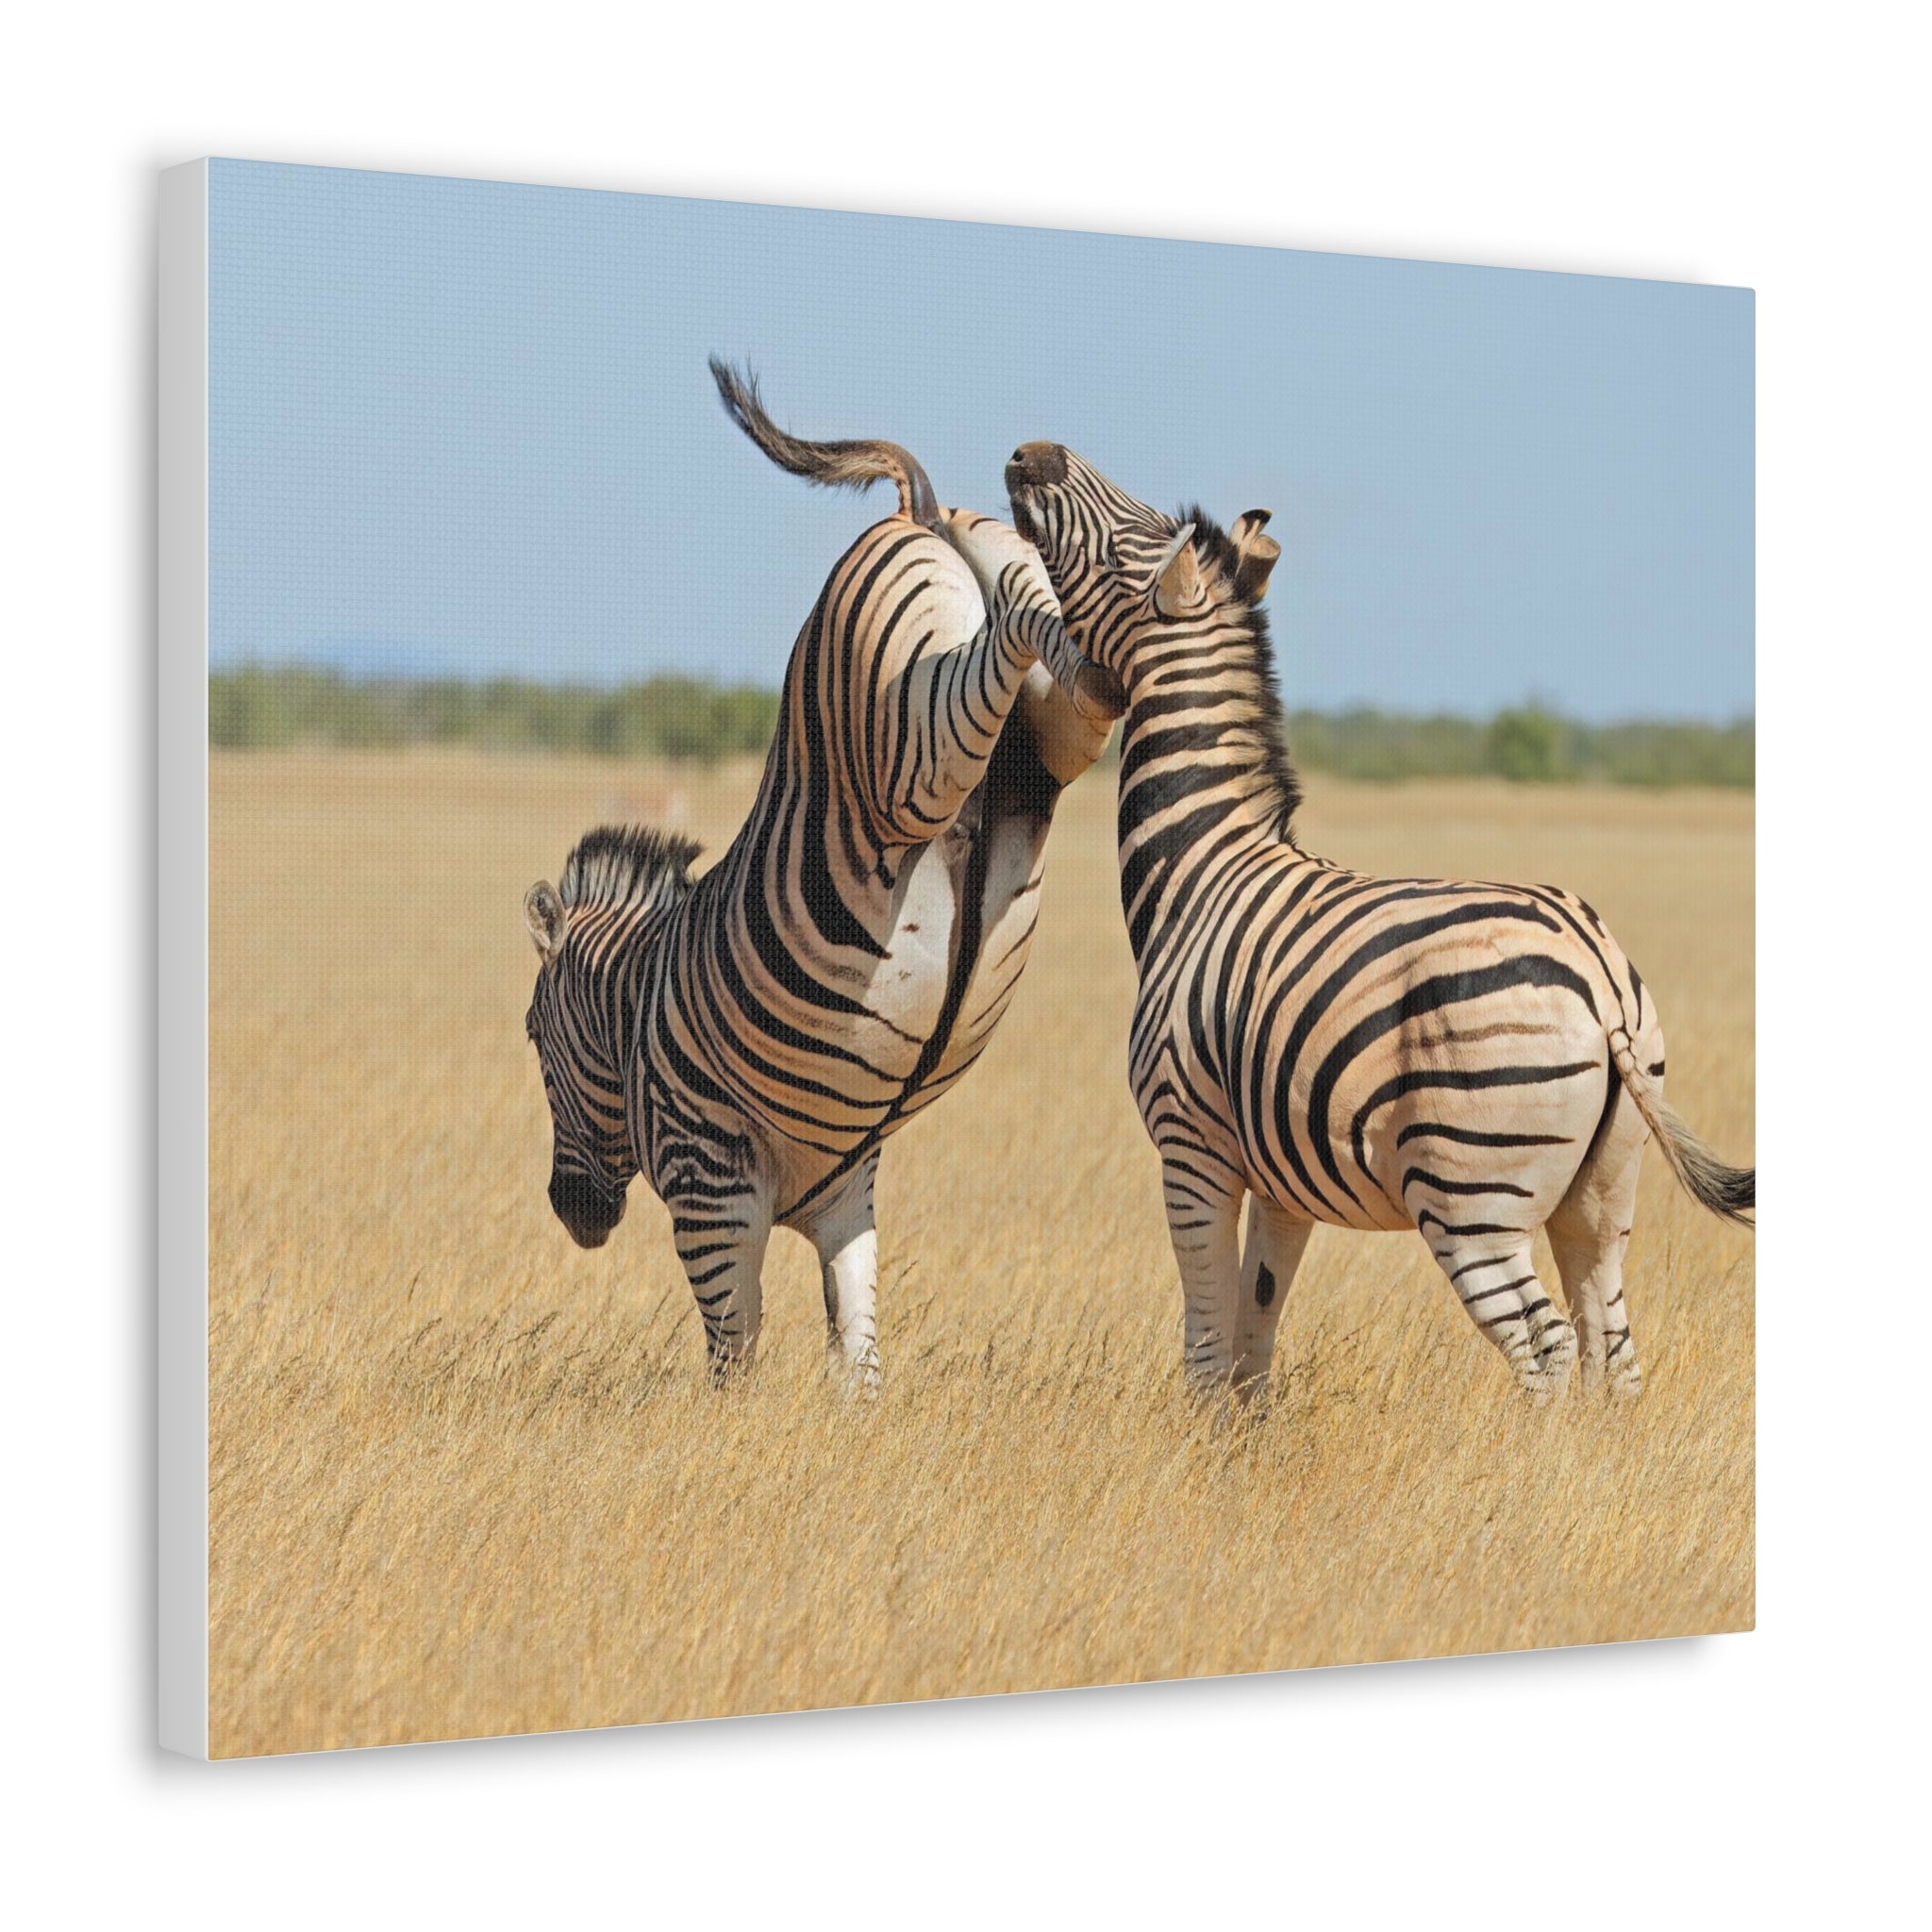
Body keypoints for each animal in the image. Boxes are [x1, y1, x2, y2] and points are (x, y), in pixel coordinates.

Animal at [521, 366, 1118, 1389]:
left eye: (530, 1035)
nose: (574, 1216)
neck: (633, 1005)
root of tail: (916, 511)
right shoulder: (848, 1193)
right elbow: (857, 1354)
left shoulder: (710, 1187)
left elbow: (734, 1354)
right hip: (1035, 716)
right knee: (1062, 666)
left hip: (899, 764)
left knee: (993, 657)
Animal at [996, 438, 1754, 1407]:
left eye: (1127, 538)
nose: (1032, 453)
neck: (1202, 868)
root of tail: (1597, 971)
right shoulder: (1279, 1181)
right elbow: (1253, 1336)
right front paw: (1241, 1444)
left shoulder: (1190, 1145)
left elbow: (1204, 1338)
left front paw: (1191, 1438)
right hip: (1604, 1188)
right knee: (1609, 1349)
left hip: (1469, 1193)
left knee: (1544, 1345)